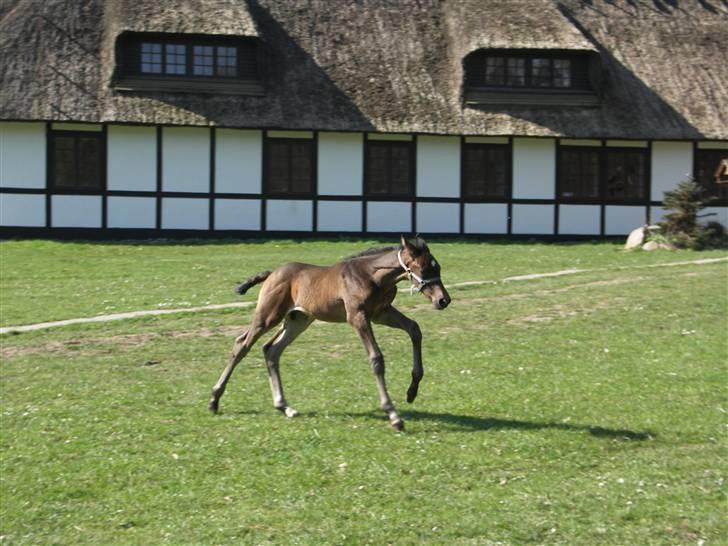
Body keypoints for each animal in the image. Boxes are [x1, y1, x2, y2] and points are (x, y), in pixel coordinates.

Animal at [208, 235, 451, 430]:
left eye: (438, 268)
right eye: (424, 269)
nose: (443, 300)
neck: (372, 276)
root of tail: (271, 273)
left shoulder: (381, 313)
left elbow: (414, 329)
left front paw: (412, 391)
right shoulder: (358, 317)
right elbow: (376, 358)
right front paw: (393, 416)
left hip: (298, 319)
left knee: (271, 349)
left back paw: (284, 406)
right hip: (268, 315)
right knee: (242, 344)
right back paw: (214, 400)